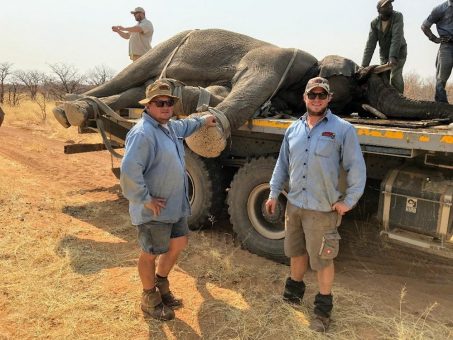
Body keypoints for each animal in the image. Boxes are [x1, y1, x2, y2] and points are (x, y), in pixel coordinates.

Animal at [53, 28, 452, 158]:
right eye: (360, 81)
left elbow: (221, 90)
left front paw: (187, 96)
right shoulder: (277, 60)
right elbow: (252, 82)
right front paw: (210, 136)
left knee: (136, 88)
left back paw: (82, 109)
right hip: (169, 42)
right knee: (130, 77)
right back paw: (67, 108)